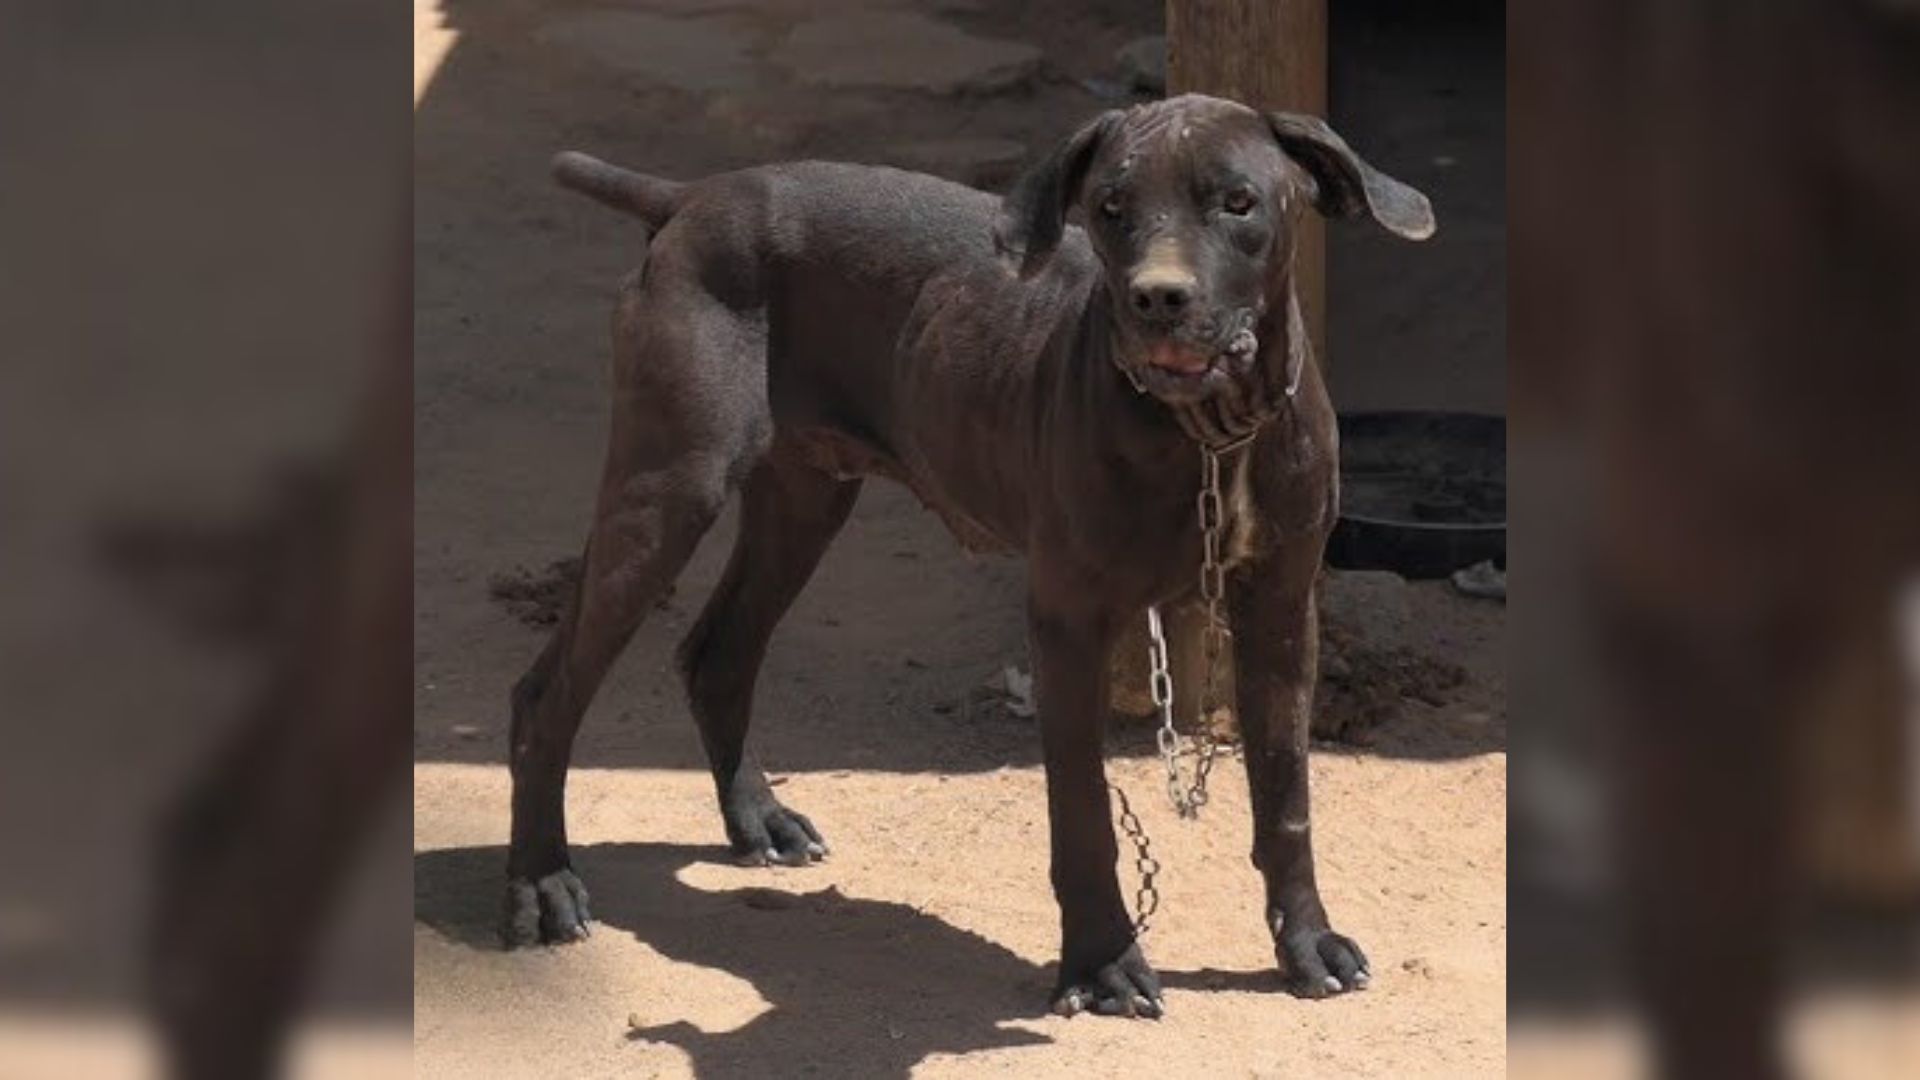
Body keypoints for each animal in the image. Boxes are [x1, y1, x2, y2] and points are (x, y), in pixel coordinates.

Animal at [503, 94, 1436, 1014]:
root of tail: (692, 197)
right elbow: (1083, 809)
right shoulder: (1067, 618)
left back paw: (757, 820)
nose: (1157, 299)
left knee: (718, 655)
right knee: (547, 694)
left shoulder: (1281, 610)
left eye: (1239, 202)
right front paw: (1102, 964)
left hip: (803, 501)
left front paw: (1306, 942)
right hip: (668, 489)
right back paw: (541, 884)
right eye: (1111, 207)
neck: (1209, 434)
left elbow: (1286, 796)